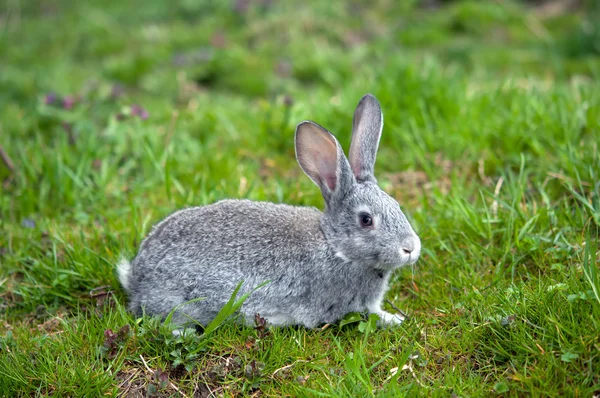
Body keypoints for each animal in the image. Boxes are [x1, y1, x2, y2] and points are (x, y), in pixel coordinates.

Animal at [115, 94, 420, 330]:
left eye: (397, 206)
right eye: (366, 220)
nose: (411, 248)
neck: (335, 246)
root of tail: (136, 277)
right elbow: (370, 315)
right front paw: (396, 320)